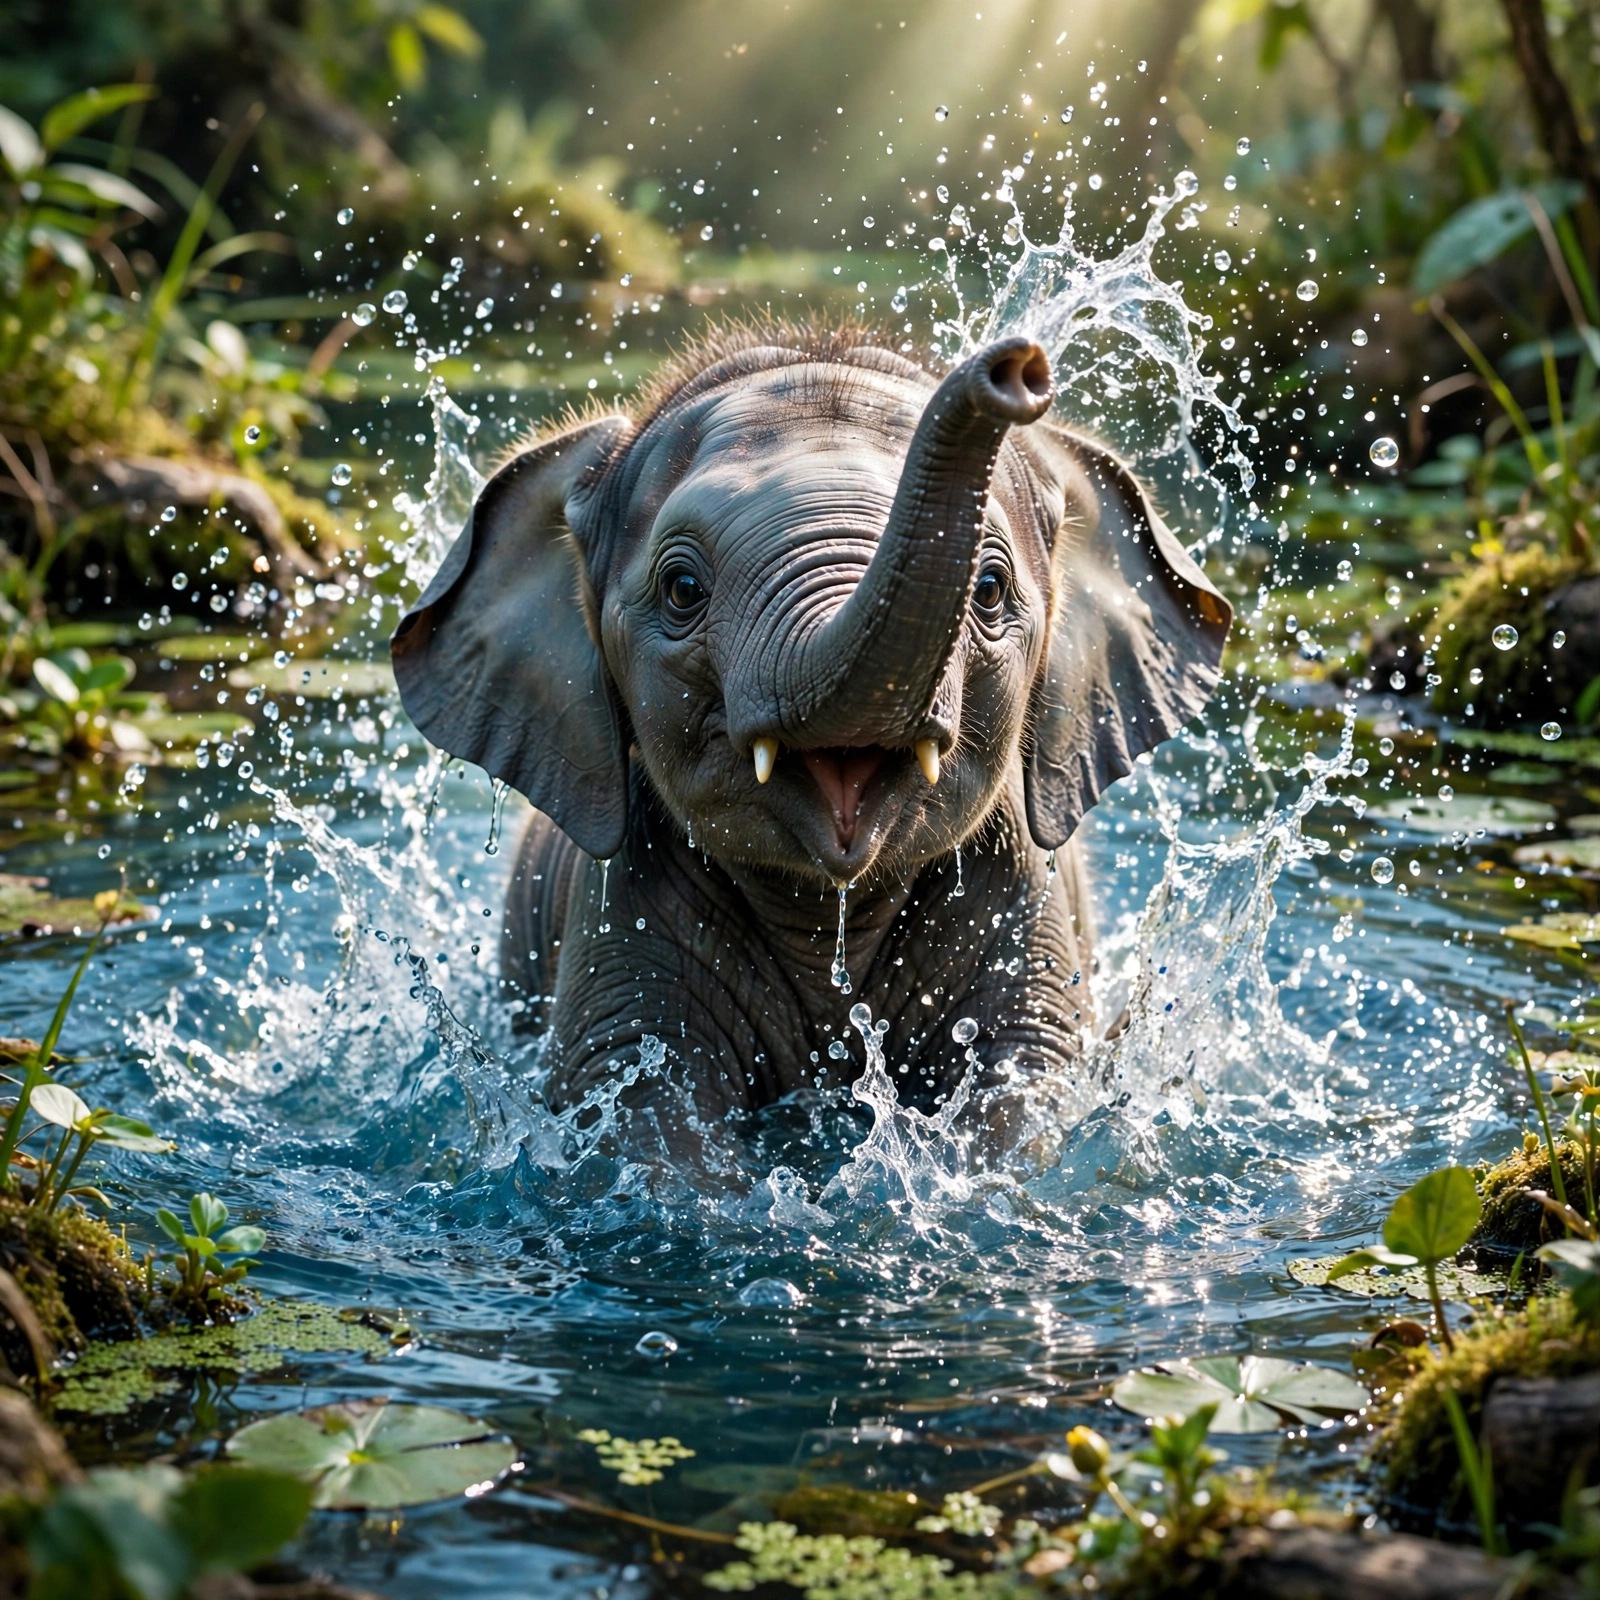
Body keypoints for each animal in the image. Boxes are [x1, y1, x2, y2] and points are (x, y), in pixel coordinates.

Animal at [391, 322, 1231, 1129]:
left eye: (989, 590)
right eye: (682, 588)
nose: (1019, 367)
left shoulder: (1025, 910)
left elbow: (1023, 1102)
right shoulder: (617, 911)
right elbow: (644, 1112)